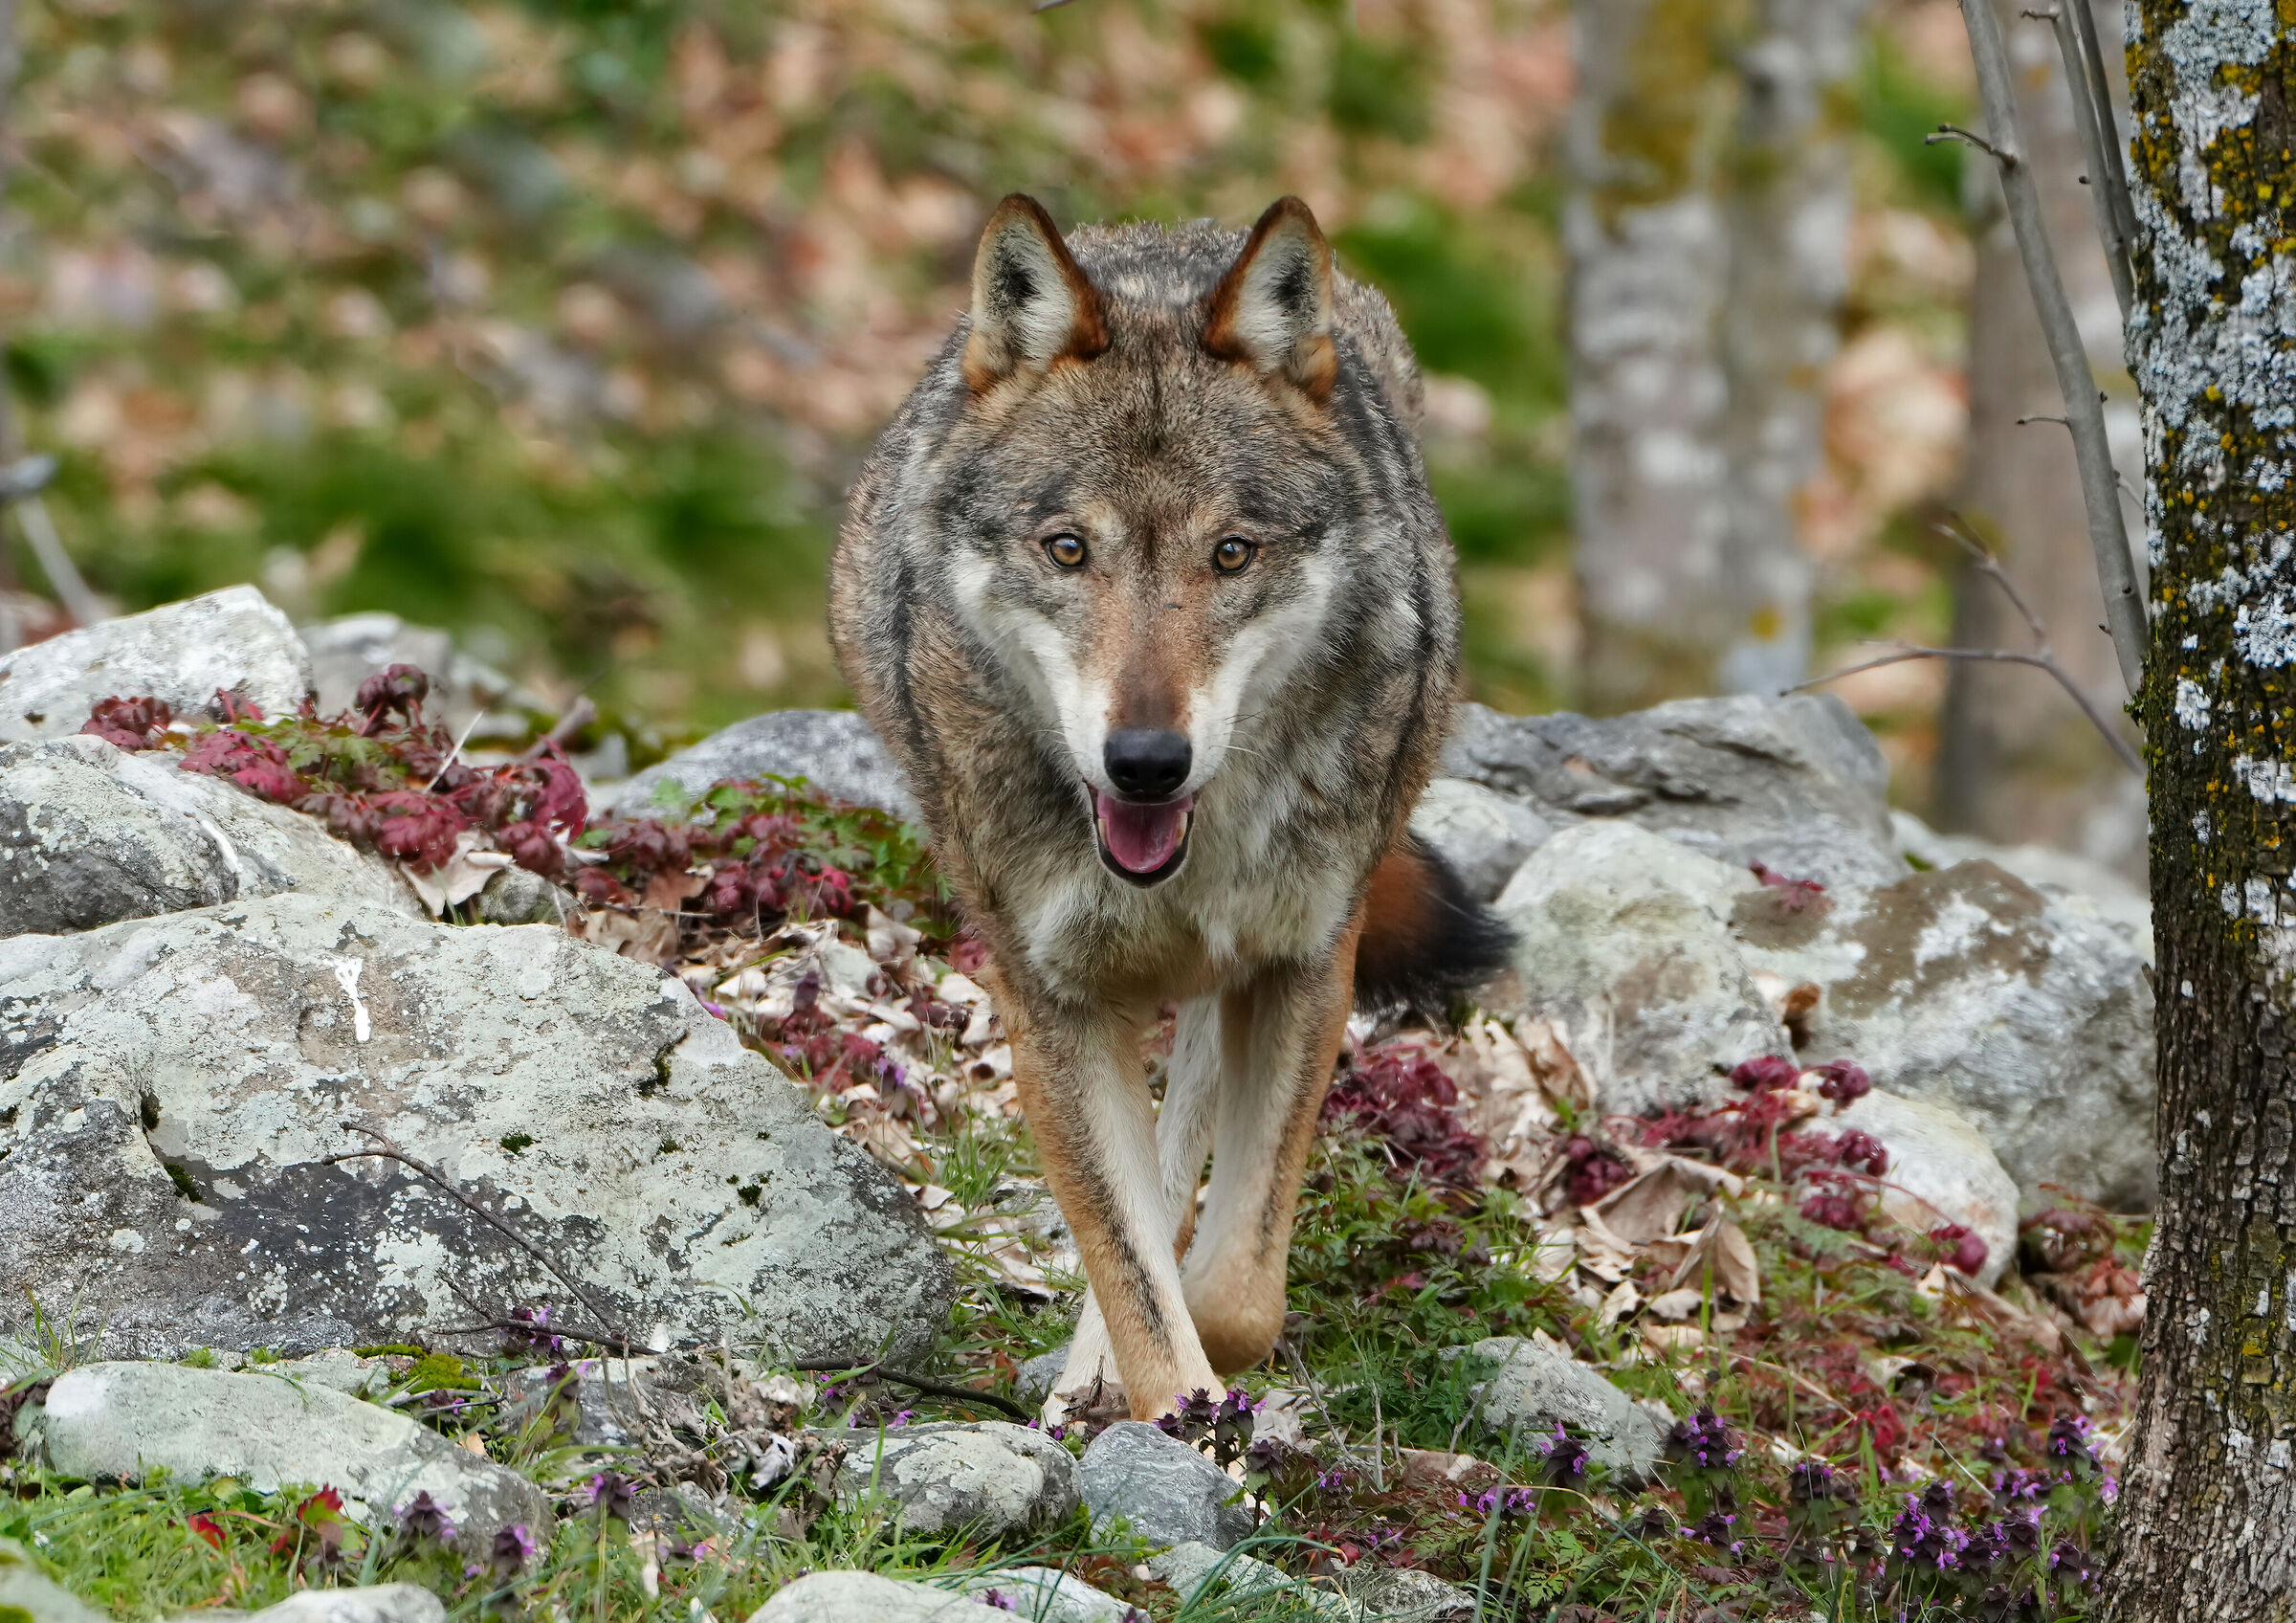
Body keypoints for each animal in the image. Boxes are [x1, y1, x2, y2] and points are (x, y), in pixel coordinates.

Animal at [831, 194, 1508, 1420]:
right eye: (1067, 550)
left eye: (1231, 553)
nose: (1145, 761)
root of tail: (1160, 228)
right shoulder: (1046, 997)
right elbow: (1128, 1258)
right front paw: (1161, 1401)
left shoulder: (1304, 966)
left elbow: (1232, 1292)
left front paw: (1195, 1361)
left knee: (1185, 1131)